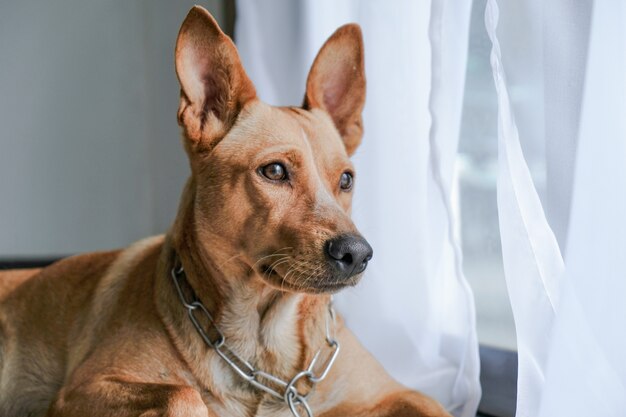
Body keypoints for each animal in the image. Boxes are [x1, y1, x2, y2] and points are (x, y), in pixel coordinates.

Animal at [0, 6, 448, 416]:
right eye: (274, 171)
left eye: (346, 180)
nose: (357, 254)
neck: (264, 352)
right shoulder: (82, 389)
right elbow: (183, 394)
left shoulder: (401, 393)